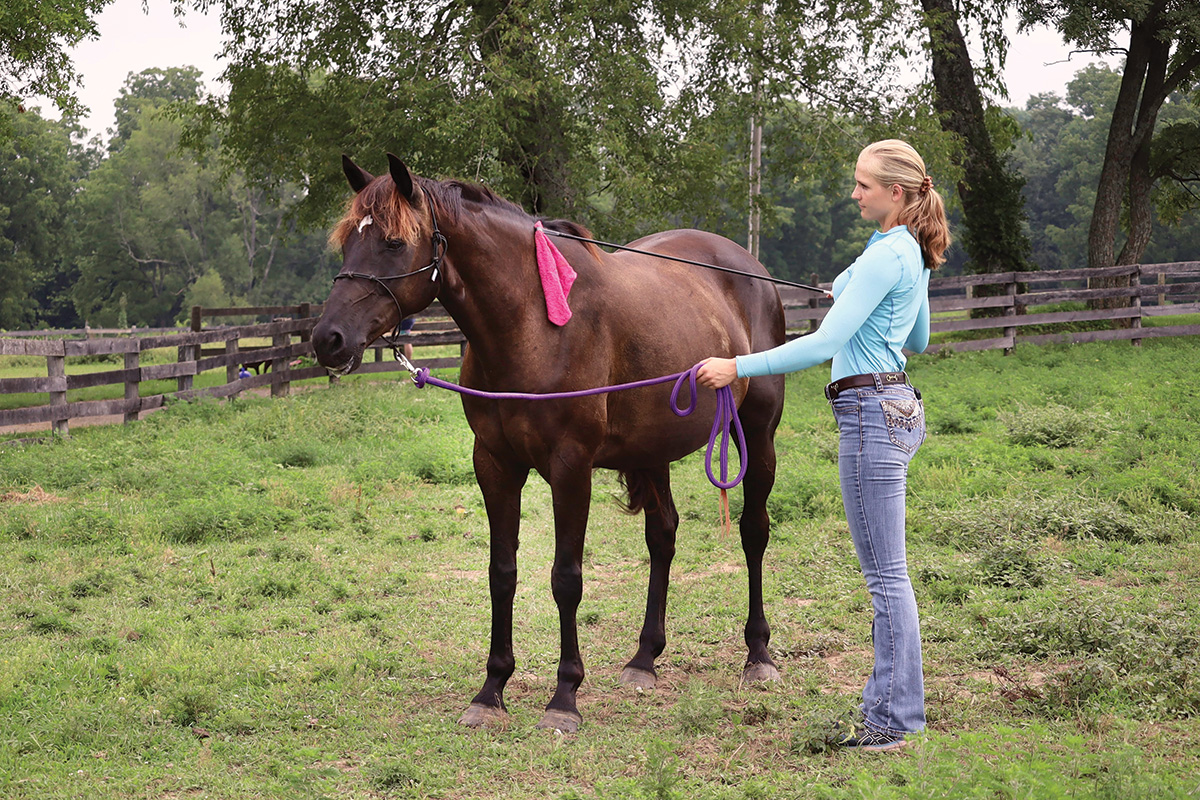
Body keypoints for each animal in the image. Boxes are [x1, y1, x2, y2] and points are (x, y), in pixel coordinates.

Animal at [312, 154, 786, 733]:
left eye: (394, 243)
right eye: (346, 242)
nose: (327, 339)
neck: (535, 328)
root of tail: (750, 268)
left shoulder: (570, 467)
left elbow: (566, 579)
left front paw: (564, 697)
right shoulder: (494, 464)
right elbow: (502, 573)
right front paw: (491, 690)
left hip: (758, 436)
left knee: (753, 533)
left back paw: (758, 655)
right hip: (652, 448)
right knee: (663, 537)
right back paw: (644, 659)